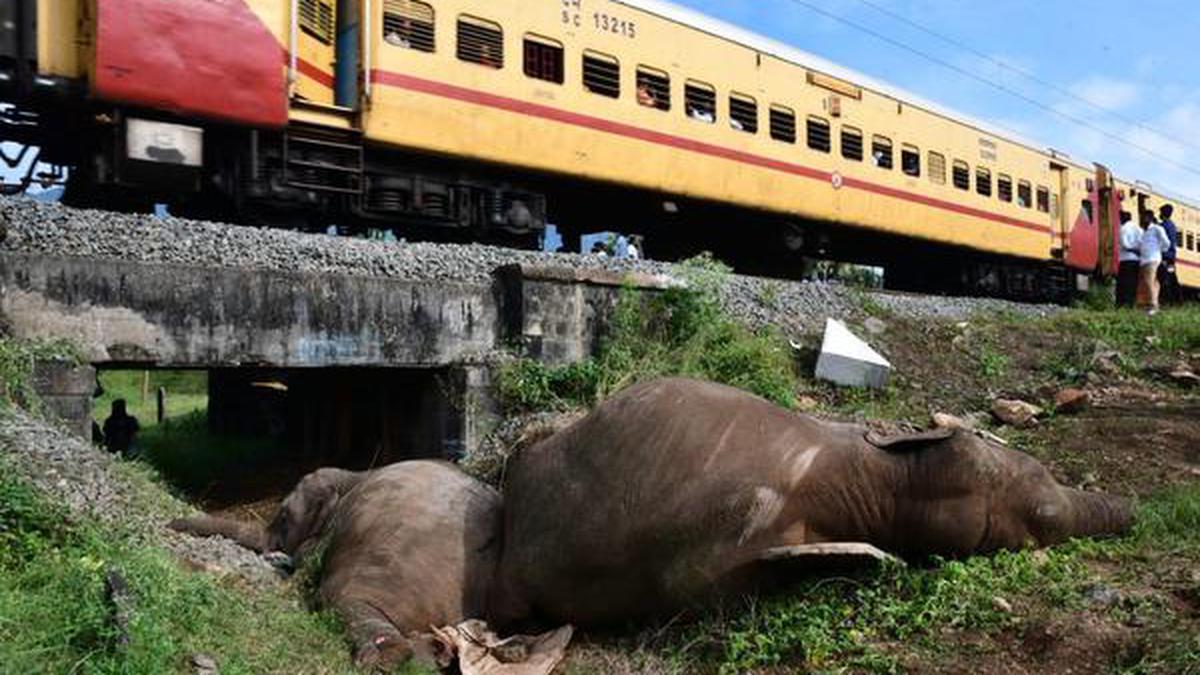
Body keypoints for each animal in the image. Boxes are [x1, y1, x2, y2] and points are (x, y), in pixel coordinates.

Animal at [172, 458, 501, 662]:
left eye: (284, 518)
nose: (171, 524)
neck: (355, 474)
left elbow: (308, 558)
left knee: (340, 598)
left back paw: (385, 656)